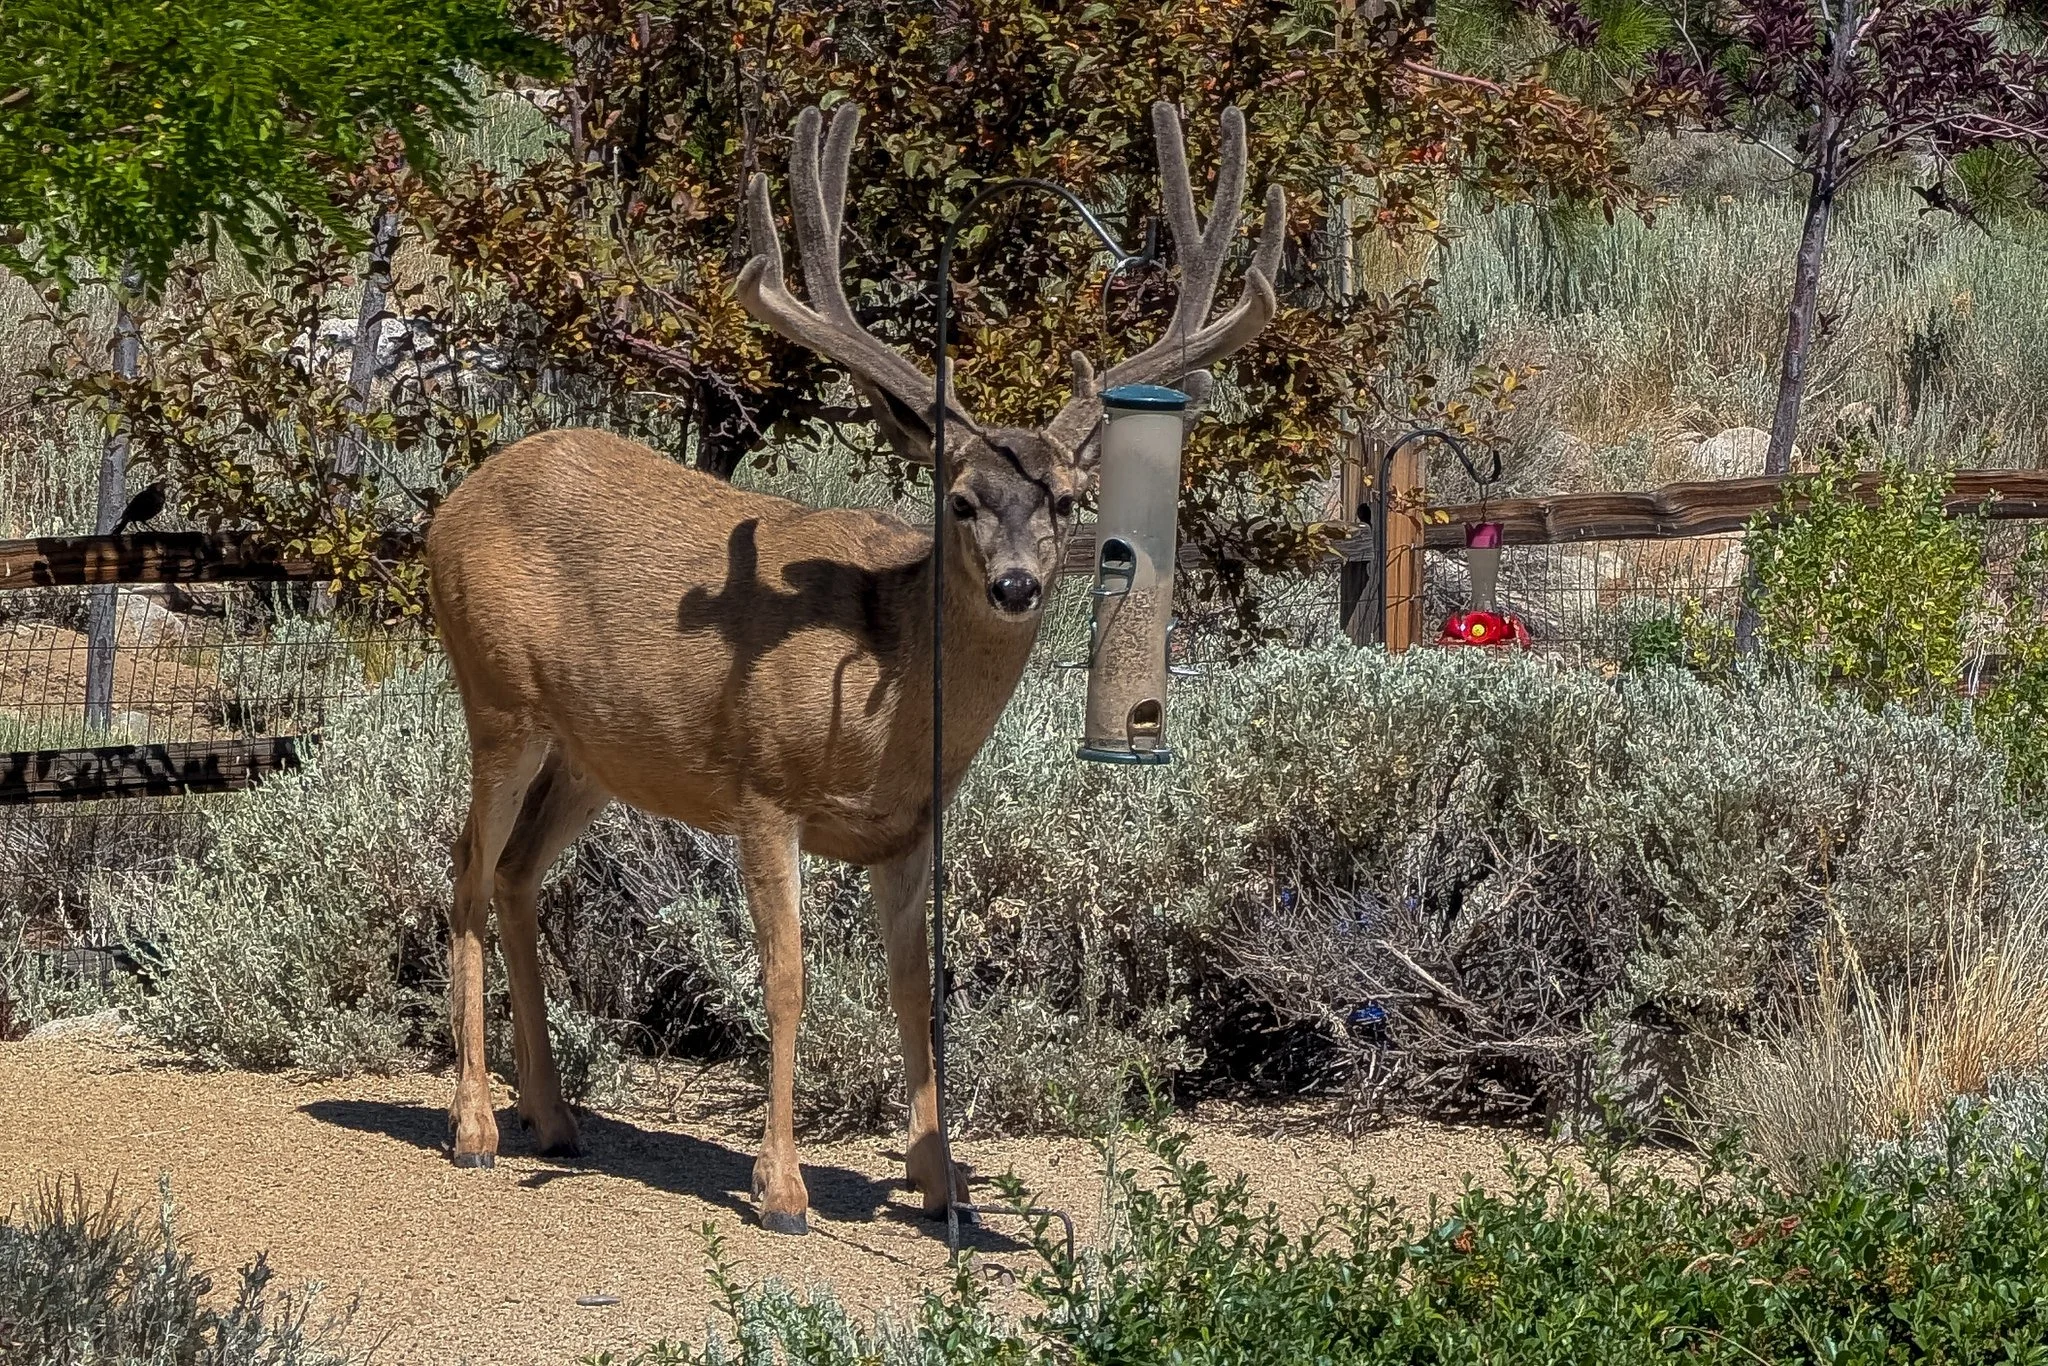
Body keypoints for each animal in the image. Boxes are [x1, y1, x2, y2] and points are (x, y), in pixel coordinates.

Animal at [423, 98, 1284, 1235]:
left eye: (1062, 499)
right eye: (959, 500)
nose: (1016, 585)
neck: (892, 712)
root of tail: (450, 505)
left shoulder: (907, 828)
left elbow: (916, 985)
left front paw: (939, 1179)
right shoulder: (762, 788)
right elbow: (786, 976)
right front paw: (782, 1186)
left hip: (592, 753)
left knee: (518, 872)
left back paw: (553, 1116)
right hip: (498, 699)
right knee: (465, 864)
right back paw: (475, 1125)